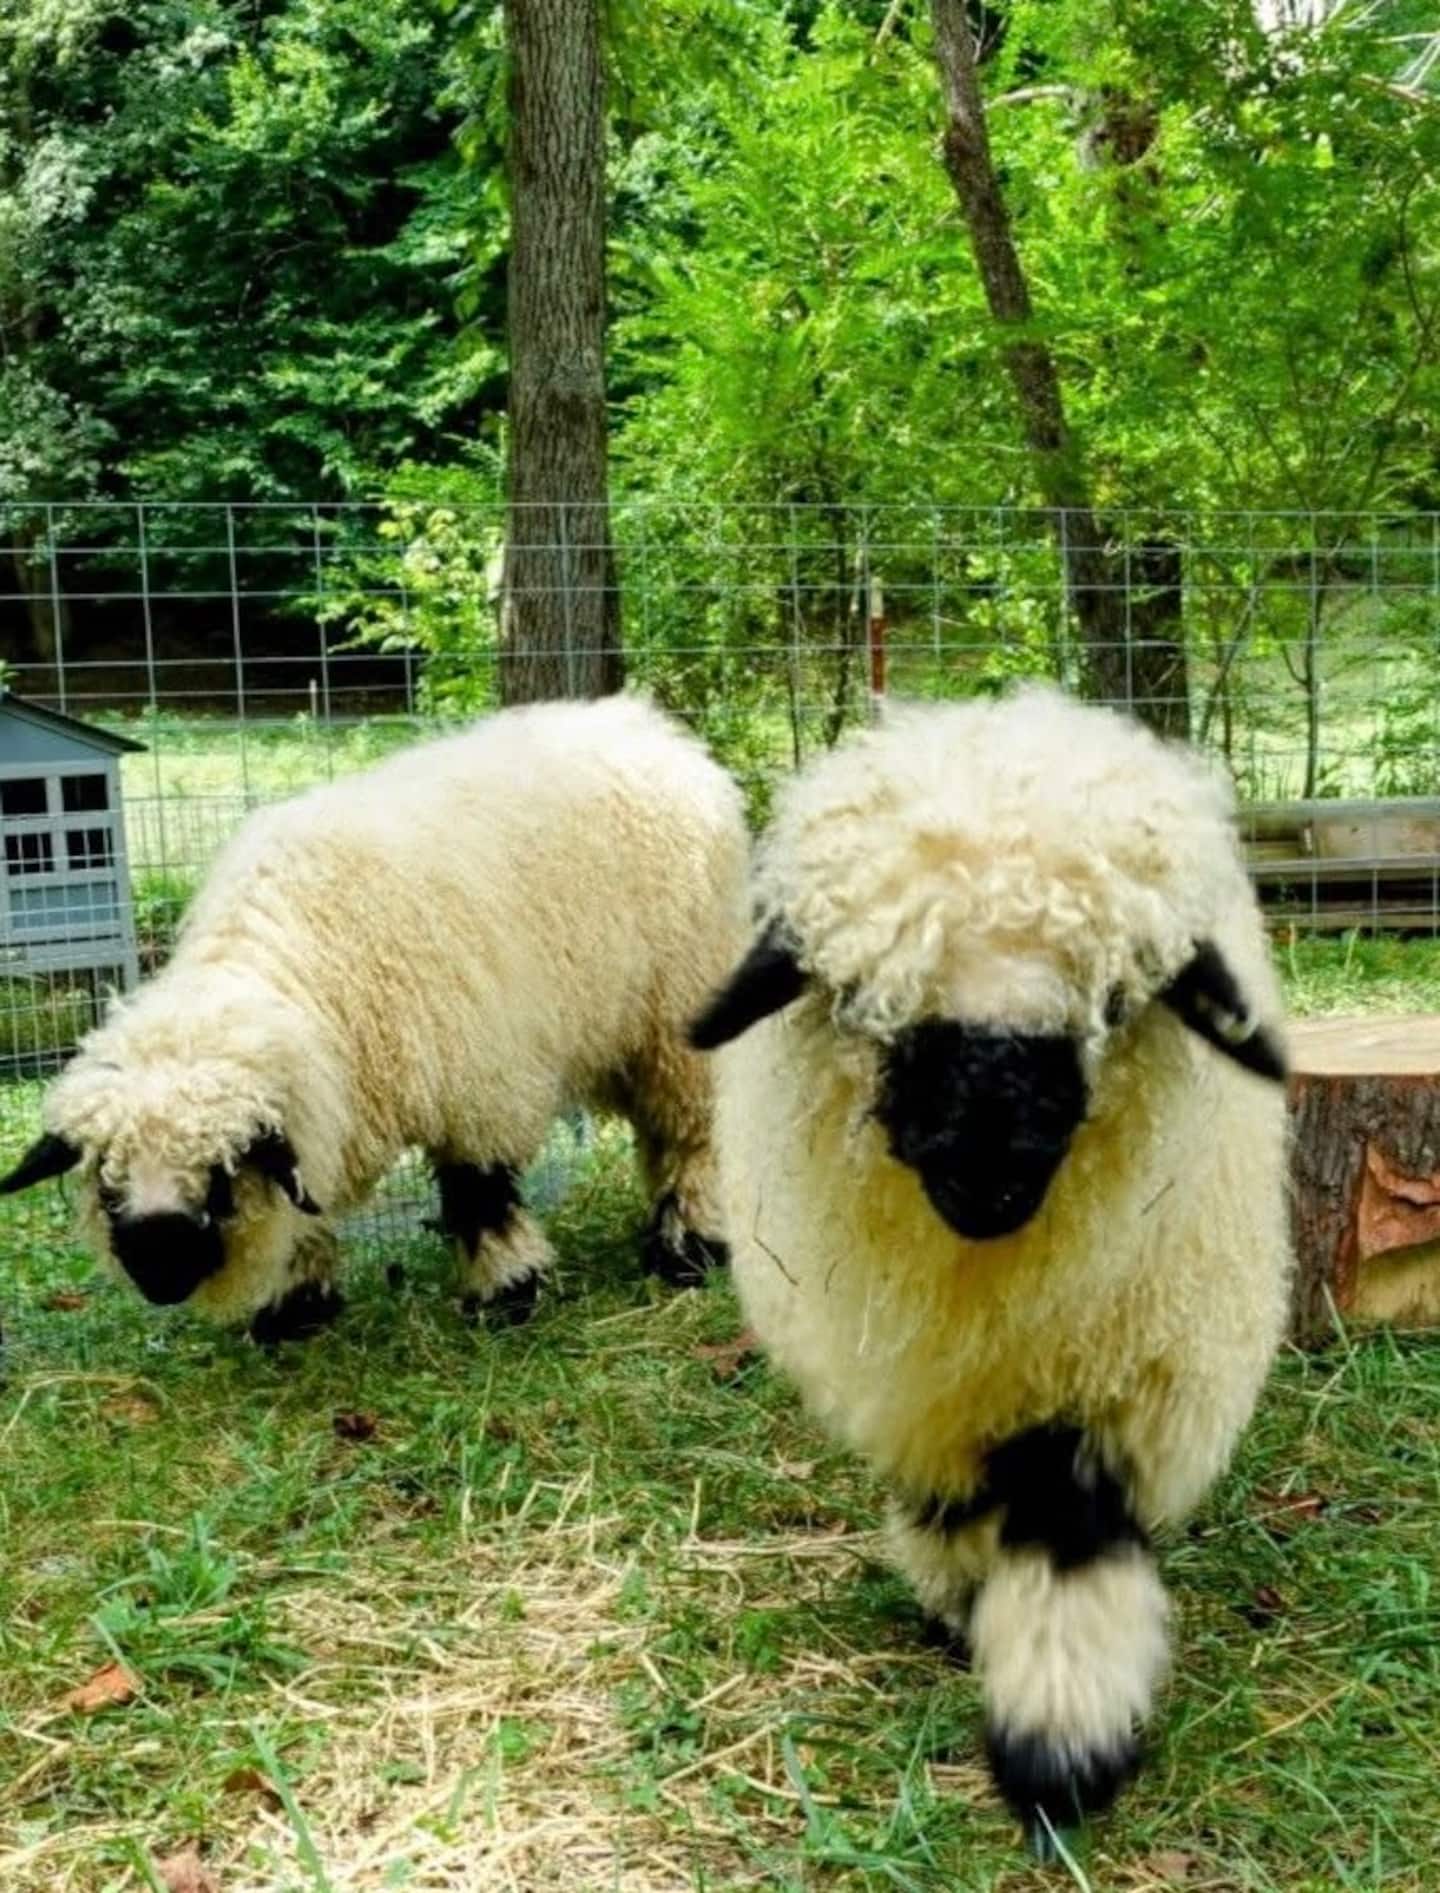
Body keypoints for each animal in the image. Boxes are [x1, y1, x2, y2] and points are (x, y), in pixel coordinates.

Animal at [2, 693, 748, 1339]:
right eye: (107, 1181)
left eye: (219, 1176)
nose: (160, 1275)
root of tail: (649, 726)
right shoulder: (321, 1109)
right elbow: (308, 1208)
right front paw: (294, 1310)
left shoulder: (479, 1086)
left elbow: (479, 1194)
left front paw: (506, 1291)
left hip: (680, 1006)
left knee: (695, 1132)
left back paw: (691, 1247)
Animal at [688, 684, 1291, 1847]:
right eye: (866, 998)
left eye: (1113, 1002)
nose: (987, 1170)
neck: (991, 1280)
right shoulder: (918, 1373)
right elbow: (954, 1490)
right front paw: (962, 1596)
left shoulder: (1130, 1365)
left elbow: (1071, 1519)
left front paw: (1062, 1734)